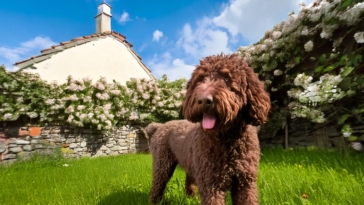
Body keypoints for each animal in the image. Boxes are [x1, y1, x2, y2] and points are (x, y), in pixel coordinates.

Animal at [148, 53, 270, 204]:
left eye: (227, 78)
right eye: (200, 79)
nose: (204, 100)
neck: (227, 139)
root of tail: (160, 126)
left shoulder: (245, 183)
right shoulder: (211, 184)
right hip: (162, 164)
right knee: (157, 185)